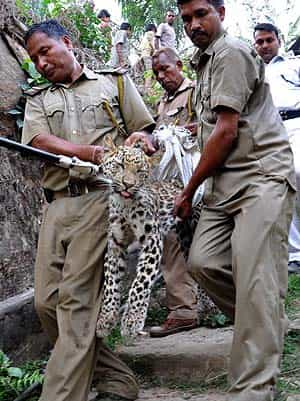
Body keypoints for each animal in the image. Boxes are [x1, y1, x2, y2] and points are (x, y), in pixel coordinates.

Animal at [95, 134, 219, 338]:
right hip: (186, 237)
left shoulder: (151, 241)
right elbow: (111, 283)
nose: (128, 184)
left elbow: (140, 283)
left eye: (140, 171)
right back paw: (206, 304)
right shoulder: (115, 245)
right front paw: (105, 320)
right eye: (120, 165)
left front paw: (132, 321)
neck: (125, 205)